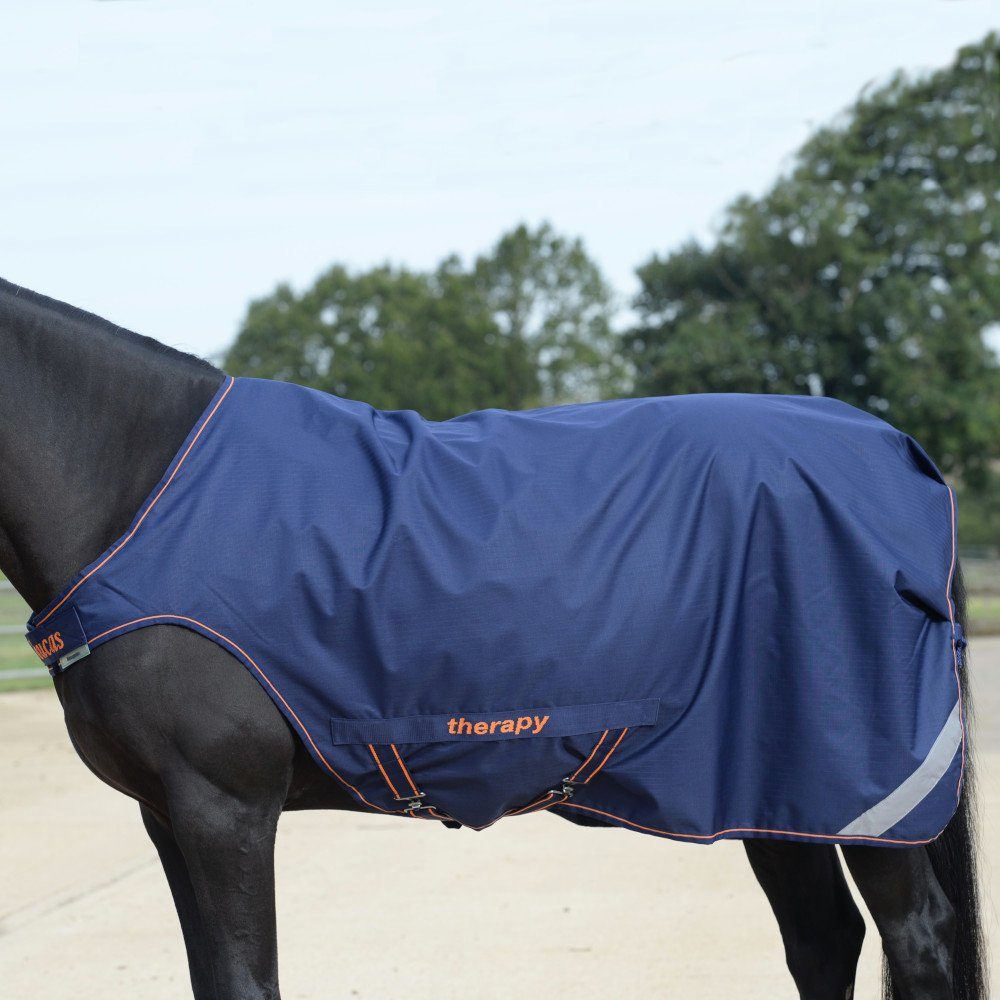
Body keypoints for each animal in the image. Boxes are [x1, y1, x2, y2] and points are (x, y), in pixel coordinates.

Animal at [0, 277, 985, 1000]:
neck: (138, 492)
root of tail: (901, 453)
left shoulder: (224, 808)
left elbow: (247, 984)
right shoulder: (167, 814)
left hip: (867, 792)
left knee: (919, 941)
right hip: (777, 786)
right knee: (821, 940)